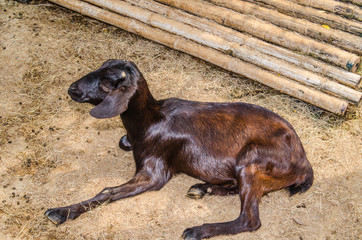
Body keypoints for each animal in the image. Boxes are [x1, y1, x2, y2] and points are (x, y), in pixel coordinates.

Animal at [44, 59, 314, 239]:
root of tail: (305, 164)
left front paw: (60, 212)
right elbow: (122, 142)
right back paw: (201, 188)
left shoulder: (154, 172)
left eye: (107, 82)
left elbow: (108, 190)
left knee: (250, 219)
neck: (149, 121)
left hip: (252, 161)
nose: (72, 89)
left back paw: (197, 229)